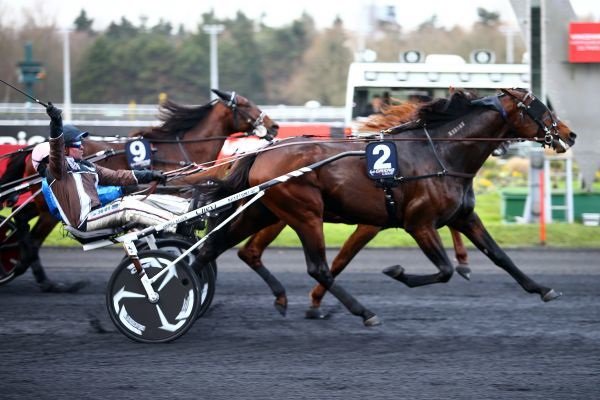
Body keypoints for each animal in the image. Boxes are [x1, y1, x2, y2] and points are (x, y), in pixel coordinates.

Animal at [0, 89, 278, 292]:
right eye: (245, 104)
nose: (274, 127)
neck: (177, 149)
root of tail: (34, 149)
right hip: (46, 209)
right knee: (29, 231)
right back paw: (41, 277)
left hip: (39, 206)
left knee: (23, 222)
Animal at [193, 87, 576, 324]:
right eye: (539, 108)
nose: (569, 134)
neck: (440, 152)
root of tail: (263, 152)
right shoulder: (418, 224)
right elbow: (444, 270)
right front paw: (398, 272)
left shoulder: (464, 216)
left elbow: (499, 256)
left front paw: (542, 289)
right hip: (304, 213)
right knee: (318, 267)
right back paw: (363, 312)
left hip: (263, 210)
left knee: (219, 248)